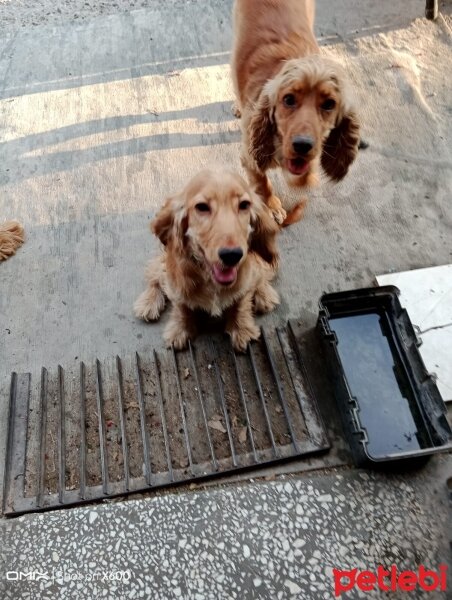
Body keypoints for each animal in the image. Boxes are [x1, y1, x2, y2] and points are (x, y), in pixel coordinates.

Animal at [233, 0, 360, 225]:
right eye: (289, 99)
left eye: (329, 104)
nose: (302, 145)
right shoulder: (249, 156)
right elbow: (263, 183)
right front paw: (272, 207)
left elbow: (302, 177)